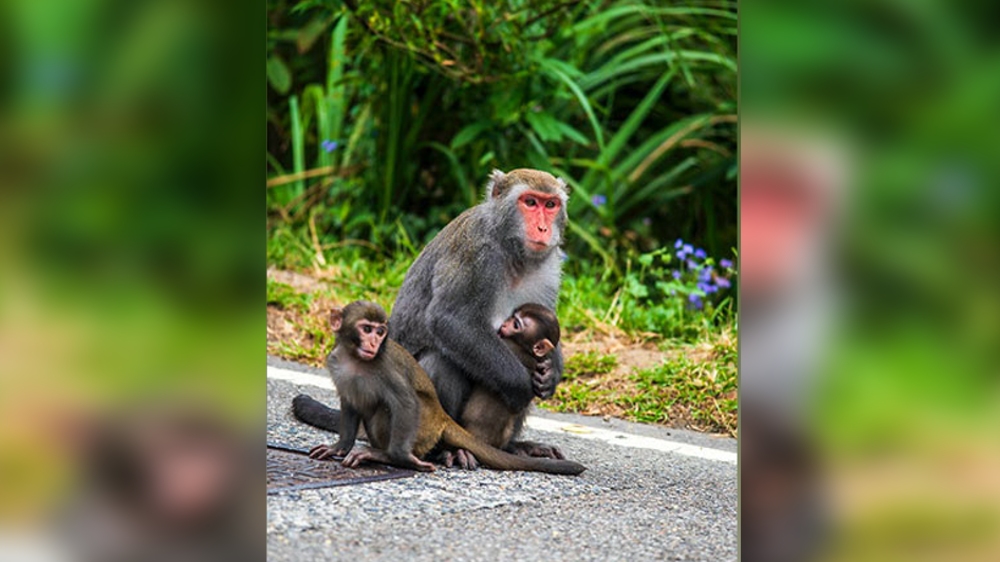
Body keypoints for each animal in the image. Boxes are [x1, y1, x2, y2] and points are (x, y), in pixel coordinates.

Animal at [296, 301, 586, 475]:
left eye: (379, 332)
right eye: (366, 329)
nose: (373, 343)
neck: (356, 360)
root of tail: (442, 417)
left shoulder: (385, 367)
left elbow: (405, 401)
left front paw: (400, 458)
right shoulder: (336, 363)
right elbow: (350, 402)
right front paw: (339, 447)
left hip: (423, 428)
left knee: (387, 408)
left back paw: (386, 456)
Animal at [387, 168, 570, 464]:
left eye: (551, 204)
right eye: (530, 202)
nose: (543, 228)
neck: (511, 249)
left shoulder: (549, 267)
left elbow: (547, 327)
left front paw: (552, 370)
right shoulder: (476, 254)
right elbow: (450, 319)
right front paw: (519, 384)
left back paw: (514, 447)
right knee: (441, 361)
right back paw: (449, 448)